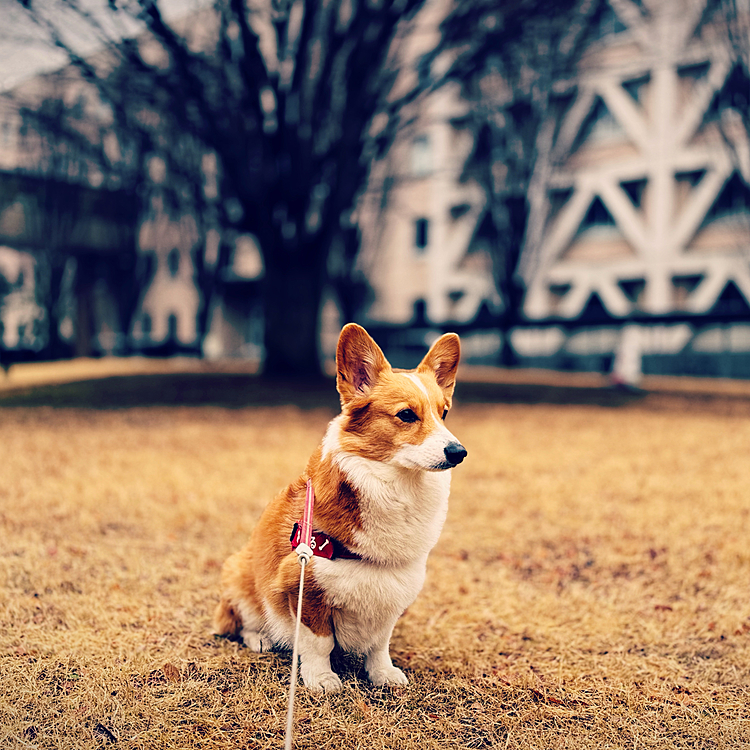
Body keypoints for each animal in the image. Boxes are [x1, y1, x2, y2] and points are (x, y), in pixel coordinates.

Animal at [214, 324, 468, 692]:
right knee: (243, 620)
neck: (397, 488)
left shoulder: (392, 593)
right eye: (407, 415)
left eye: (444, 413)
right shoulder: (304, 586)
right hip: (239, 574)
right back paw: (261, 638)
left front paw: (382, 673)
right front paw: (320, 678)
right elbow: (319, 642)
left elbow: (380, 642)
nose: (458, 452)